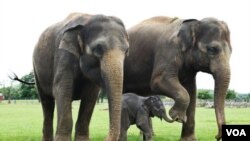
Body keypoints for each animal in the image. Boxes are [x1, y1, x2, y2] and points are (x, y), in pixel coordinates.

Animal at [32, 12, 129, 141]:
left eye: (127, 51)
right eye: (98, 49)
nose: (104, 138)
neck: (88, 19)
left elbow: (91, 95)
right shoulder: (63, 54)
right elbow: (62, 89)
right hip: (36, 70)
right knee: (46, 101)